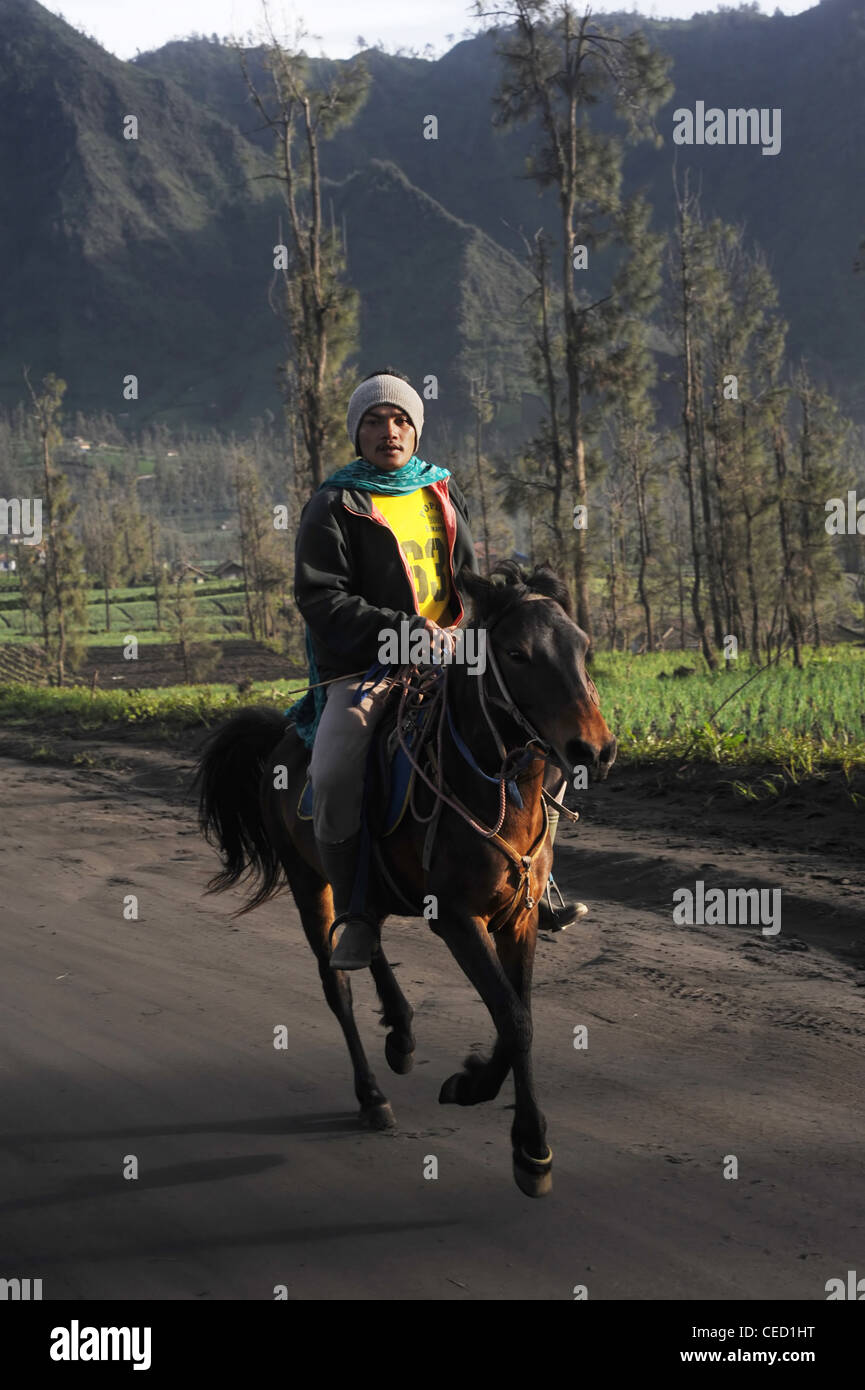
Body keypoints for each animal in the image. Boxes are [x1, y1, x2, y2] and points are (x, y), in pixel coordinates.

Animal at [196, 561, 617, 1195]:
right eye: (516, 653)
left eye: (584, 647)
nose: (595, 748)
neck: (494, 788)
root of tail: (281, 735)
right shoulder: (458, 918)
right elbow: (513, 1017)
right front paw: (524, 1141)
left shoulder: (517, 919)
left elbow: (517, 1015)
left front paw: (487, 1098)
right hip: (308, 880)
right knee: (337, 980)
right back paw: (371, 1093)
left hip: (363, 888)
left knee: (365, 932)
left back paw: (400, 1031)